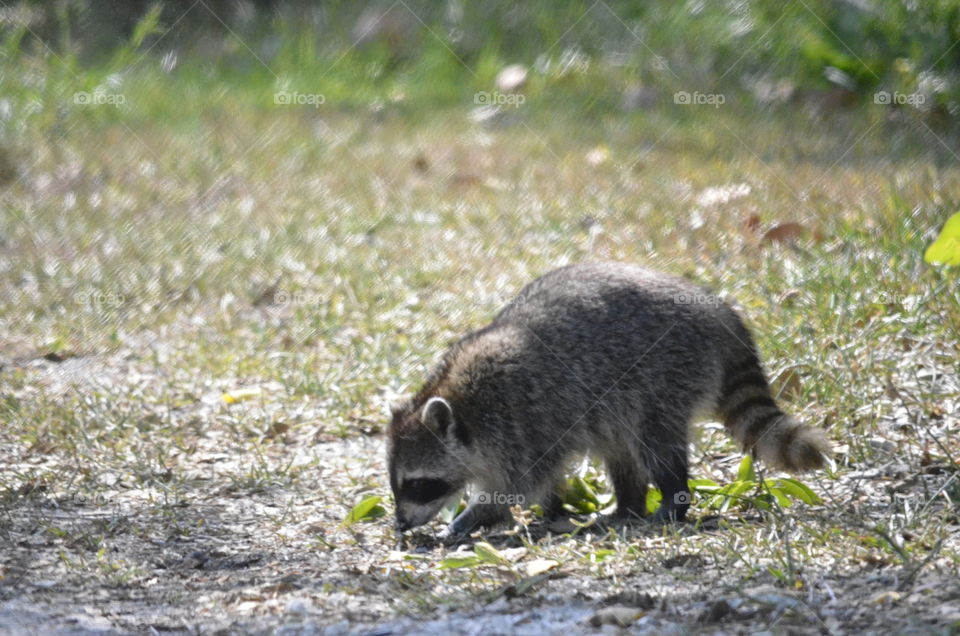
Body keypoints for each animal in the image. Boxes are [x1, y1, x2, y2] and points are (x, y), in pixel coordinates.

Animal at [388, 262, 831, 537]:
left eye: (418, 484)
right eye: (397, 484)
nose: (401, 525)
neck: (460, 399)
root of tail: (718, 312)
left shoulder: (522, 419)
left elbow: (522, 482)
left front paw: (477, 515)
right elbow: (547, 479)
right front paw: (553, 509)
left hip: (665, 374)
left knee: (653, 442)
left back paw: (673, 498)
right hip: (618, 399)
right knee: (619, 447)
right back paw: (628, 505)